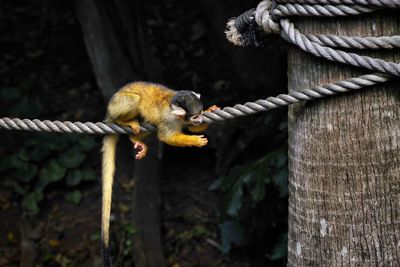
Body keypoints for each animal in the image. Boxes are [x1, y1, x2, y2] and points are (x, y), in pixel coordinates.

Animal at [101, 82, 217, 267]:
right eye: (194, 116)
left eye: (199, 115)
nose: (199, 118)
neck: (174, 110)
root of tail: (107, 115)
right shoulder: (168, 120)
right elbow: (166, 137)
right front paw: (195, 141)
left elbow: (192, 129)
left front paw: (210, 112)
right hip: (115, 107)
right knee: (135, 101)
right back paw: (123, 122)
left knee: (148, 121)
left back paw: (136, 139)